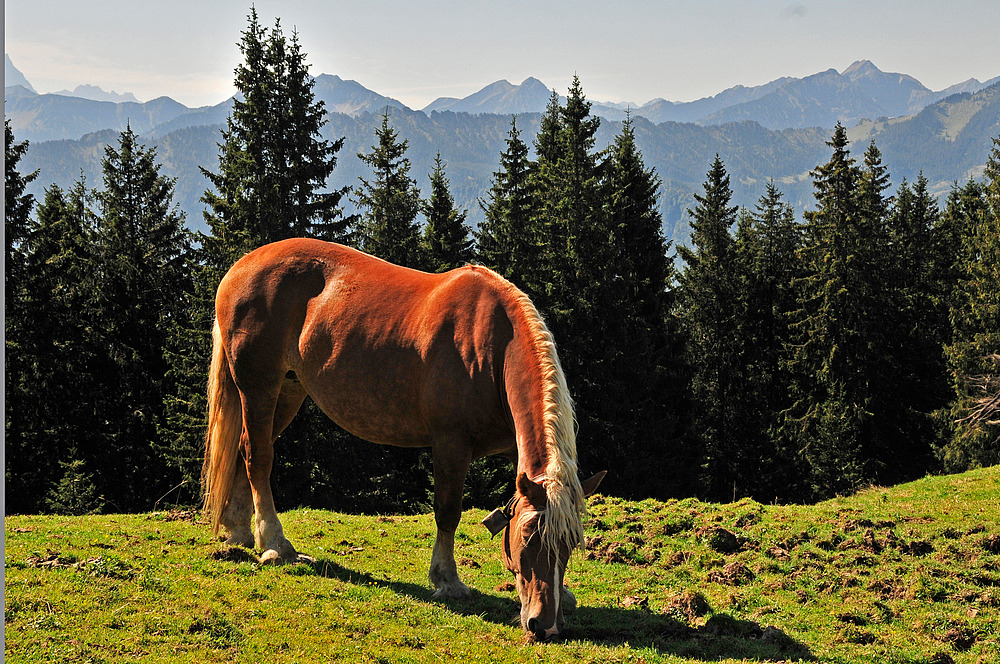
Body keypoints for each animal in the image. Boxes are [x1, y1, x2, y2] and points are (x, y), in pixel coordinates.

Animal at [204, 237, 604, 640]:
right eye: (527, 537)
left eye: (570, 544)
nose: (545, 625)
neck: (491, 347)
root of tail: (241, 266)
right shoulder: (450, 445)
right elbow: (447, 512)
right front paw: (447, 580)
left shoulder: (513, 449)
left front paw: (567, 595)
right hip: (259, 387)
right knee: (258, 456)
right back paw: (274, 544)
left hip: (289, 389)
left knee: (244, 450)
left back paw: (238, 531)